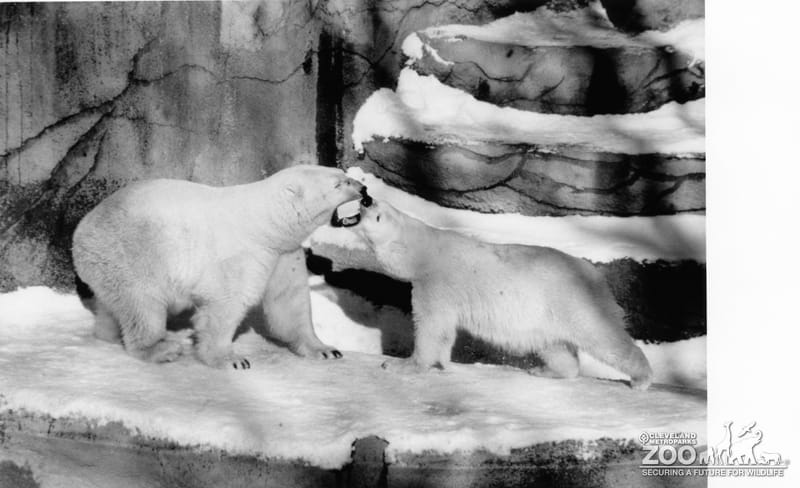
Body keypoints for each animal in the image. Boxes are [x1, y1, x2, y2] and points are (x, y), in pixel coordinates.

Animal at [72, 165, 364, 369]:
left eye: (342, 173)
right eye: (338, 183)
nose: (363, 188)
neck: (265, 224)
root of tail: (81, 231)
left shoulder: (283, 254)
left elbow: (289, 303)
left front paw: (326, 349)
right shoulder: (243, 254)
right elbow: (225, 304)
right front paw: (231, 359)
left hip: (108, 265)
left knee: (113, 306)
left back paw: (108, 334)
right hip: (132, 256)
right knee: (143, 307)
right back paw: (162, 349)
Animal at [354, 200, 653, 390]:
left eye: (379, 214)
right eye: (378, 203)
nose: (366, 200)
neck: (427, 251)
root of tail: (595, 275)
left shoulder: (436, 284)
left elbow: (430, 326)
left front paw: (402, 365)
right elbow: (445, 330)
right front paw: (446, 363)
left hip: (574, 302)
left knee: (604, 337)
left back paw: (641, 379)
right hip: (545, 316)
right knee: (555, 347)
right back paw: (543, 370)